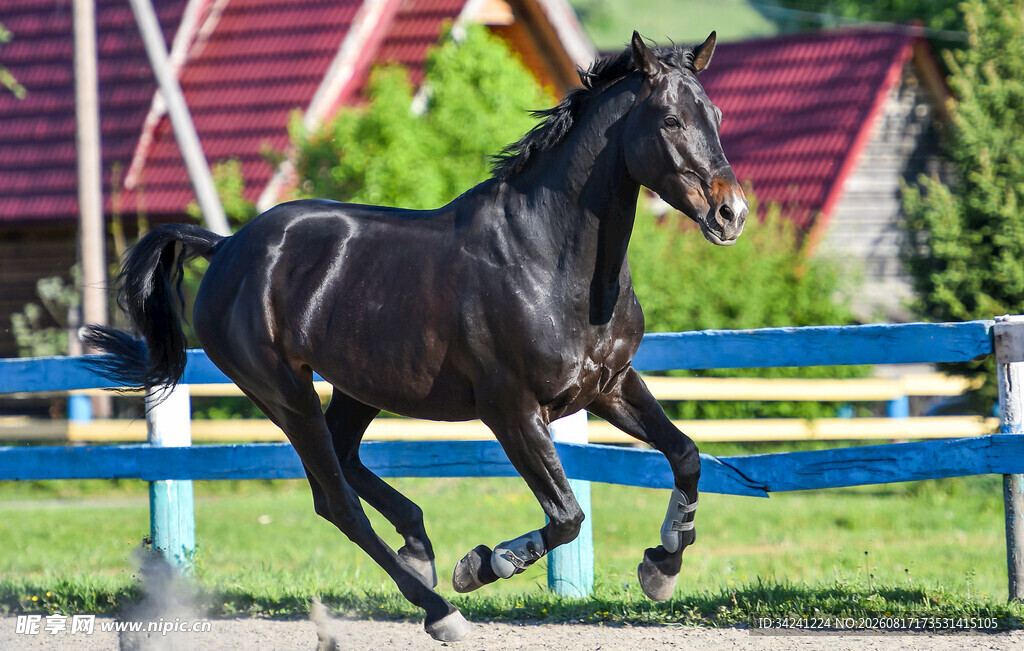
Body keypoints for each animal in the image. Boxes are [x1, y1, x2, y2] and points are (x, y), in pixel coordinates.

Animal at [84, 31, 747, 641]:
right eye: (670, 120)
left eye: (714, 116)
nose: (731, 214)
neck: (549, 259)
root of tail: (225, 247)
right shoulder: (511, 410)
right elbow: (567, 516)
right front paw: (481, 565)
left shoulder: (609, 386)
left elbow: (685, 455)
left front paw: (662, 564)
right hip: (283, 392)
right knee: (336, 501)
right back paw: (440, 607)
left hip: (358, 387)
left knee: (345, 460)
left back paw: (417, 546)